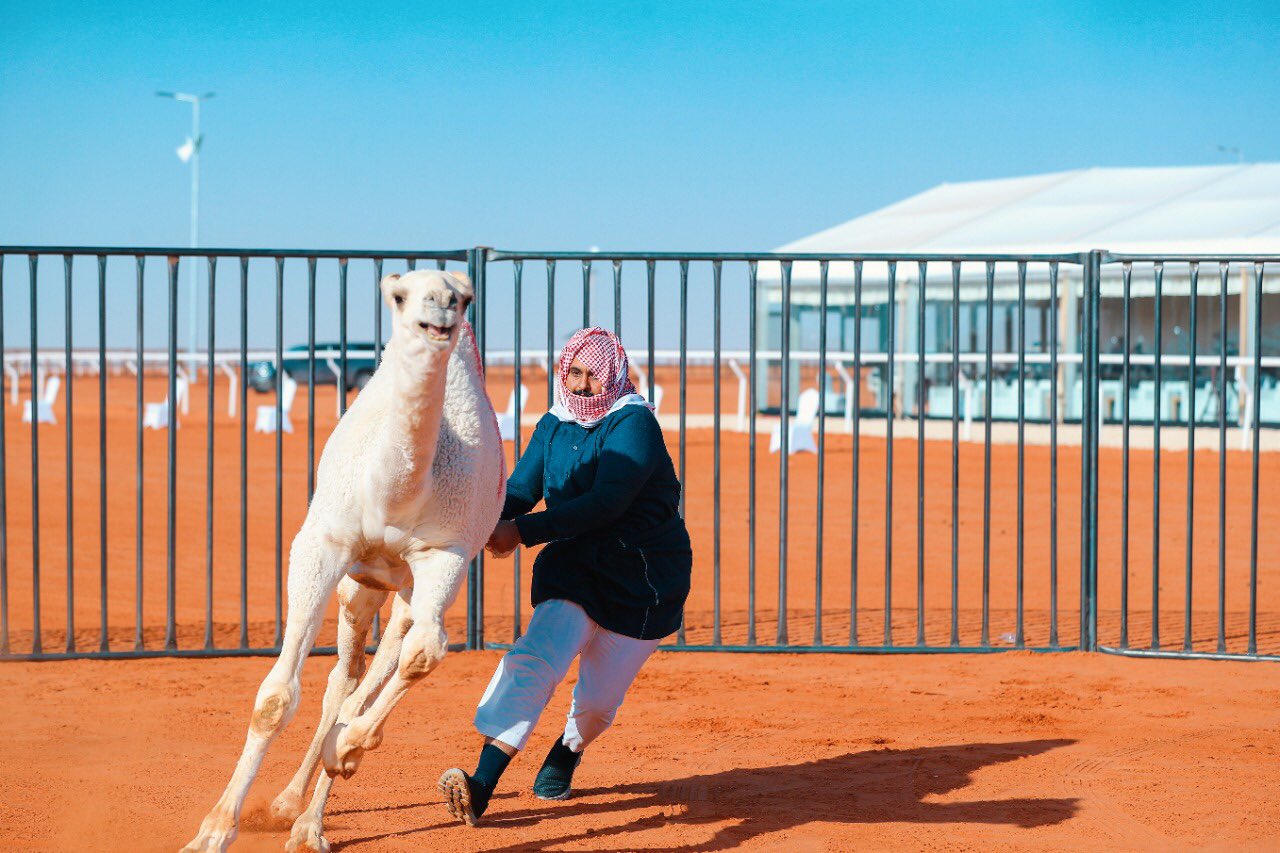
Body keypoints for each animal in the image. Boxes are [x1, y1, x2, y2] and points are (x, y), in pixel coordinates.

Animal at [185, 270, 504, 850]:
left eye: (465, 297)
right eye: (399, 296)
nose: (442, 309)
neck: (398, 492)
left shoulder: (443, 557)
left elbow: (424, 654)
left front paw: (346, 750)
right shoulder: (321, 545)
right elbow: (276, 698)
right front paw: (212, 833)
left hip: (401, 588)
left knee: (373, 671)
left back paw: (310, 820)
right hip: (361, 586)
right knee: (343, 678)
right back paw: (291, 804)